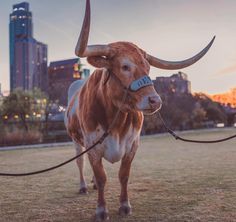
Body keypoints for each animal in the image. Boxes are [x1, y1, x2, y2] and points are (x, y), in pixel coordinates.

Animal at [64, 0, 214, 220]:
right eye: (125, 66)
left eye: (148, 68)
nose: (155, 100)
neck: (115, 119)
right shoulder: (93, 145)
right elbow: (102, 177)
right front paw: (101, 210)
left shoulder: (132, 144)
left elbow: (123, 175)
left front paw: (125, 206)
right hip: (76, 141)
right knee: (80, 162)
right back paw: (83, 185)